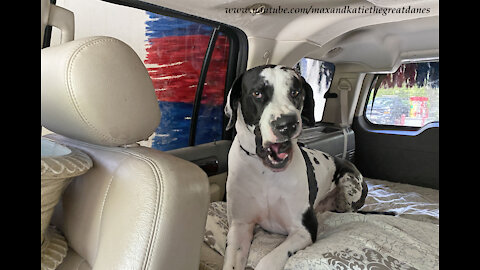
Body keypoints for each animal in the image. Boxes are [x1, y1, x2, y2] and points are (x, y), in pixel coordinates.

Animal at [222, 65, 368, 270]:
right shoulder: (240, 226)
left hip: (349, 183)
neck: (266, 173)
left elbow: (268, 260)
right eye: (257, 93)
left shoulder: (304, 230)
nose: (287, 124)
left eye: (295, 92)